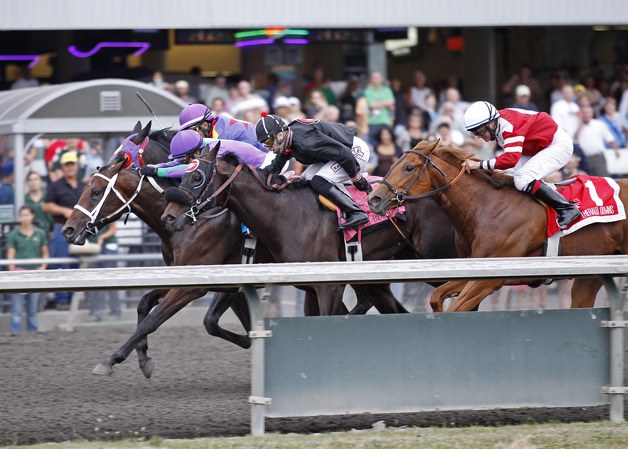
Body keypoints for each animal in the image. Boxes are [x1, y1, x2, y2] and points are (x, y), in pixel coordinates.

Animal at [159, 145, 458, 310]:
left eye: (197, 177)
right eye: (182, 174)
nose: (169, 217)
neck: (288, 215)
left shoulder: (329, 287)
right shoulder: (310, 287)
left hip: (437, 256)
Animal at [368, 140, 628, 312]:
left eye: (409, 167)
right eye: (394, 164)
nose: (374, 199)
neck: (486, 206)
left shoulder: (490, 279)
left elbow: (455, 307)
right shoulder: (471, 269)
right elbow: (436, 297)